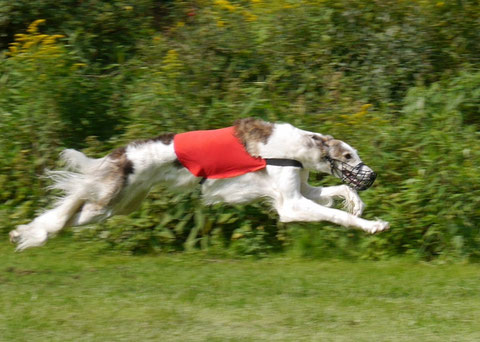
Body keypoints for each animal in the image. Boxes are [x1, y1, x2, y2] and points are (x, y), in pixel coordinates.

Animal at [8, 118, 390, 251]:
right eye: (349, 155)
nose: (372, 175)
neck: (298, 147)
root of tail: (121, 153)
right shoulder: (290, 205)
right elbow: (338, 216)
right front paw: (374, 225)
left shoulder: (303, 190)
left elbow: (340, 192)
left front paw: (358, 202)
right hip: (108, 197)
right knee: (67, 208)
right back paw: (28, 234)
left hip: (116, 206)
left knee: (68, 217)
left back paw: (24, 234)